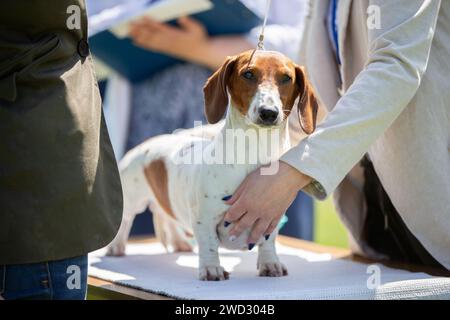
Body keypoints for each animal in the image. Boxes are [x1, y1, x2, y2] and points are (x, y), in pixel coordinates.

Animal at [106, 49, 318, 280]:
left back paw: (179, 243)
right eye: (248, 74)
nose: (268, 112)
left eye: (287, 78)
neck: (254, 150)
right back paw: (116, 247)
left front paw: (270, 263)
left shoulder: (270, 216)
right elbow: (208, 244)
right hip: (131, 197)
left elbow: (268, 241)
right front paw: (211, 269)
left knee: (167, 214)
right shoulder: (204, 218)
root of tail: (146, 145)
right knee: (125, 220)